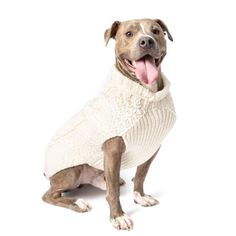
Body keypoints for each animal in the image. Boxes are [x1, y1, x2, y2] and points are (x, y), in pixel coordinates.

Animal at [42, 18, 175, 230]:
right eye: (129, 34)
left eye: (155, 31)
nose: (146, 41)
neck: (146, 92)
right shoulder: (113, 149)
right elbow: (113, 192)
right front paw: (118, 216)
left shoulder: (152, 146)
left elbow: (141, 175)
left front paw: (140, 196)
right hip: (72, 171)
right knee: (48, 195)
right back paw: (78, 202)